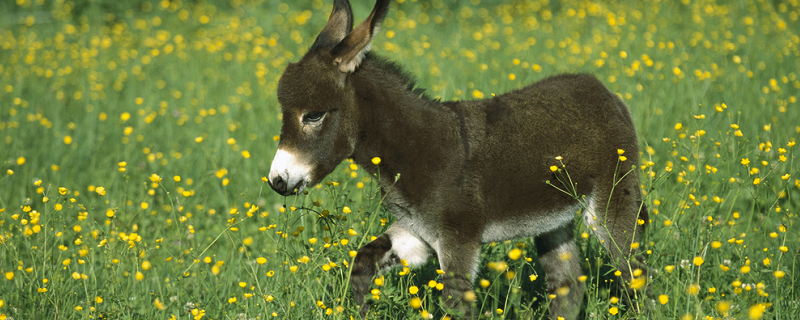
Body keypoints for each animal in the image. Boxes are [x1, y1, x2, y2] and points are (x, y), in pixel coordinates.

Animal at [268, 0, 648, 318]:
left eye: (313, 115)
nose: (277, 181)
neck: (413, 149)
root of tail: (602, 90)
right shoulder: (416, 232)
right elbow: (362, 263)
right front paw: (360, 310)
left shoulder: (458, 239)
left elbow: (456, 305)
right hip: (553, 220)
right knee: (568, 287)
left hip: (611, 202)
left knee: (635, 272)